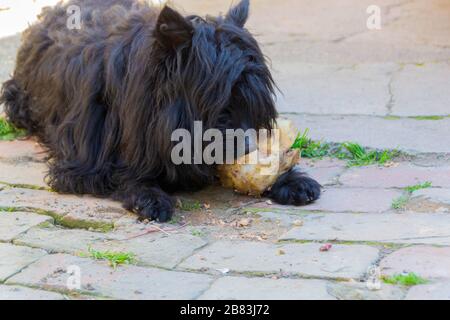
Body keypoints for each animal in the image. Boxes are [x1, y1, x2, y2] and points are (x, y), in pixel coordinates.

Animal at [1, 0, 322, 222]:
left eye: (251, 103)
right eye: (221, 104)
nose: (247, 148)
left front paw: (288, 179)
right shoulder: (85, 166)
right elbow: (123, 173)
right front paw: (149, 195)